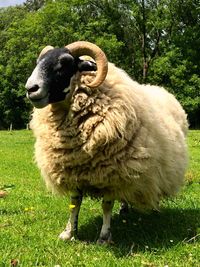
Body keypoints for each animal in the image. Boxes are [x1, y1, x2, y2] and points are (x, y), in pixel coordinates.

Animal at [25, 40, 188, 244]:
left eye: (65, 63)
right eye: (39, 62)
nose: (30, 89)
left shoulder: (112, 173)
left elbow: (106, 205)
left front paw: (104, 236)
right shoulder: (73, 170)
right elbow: (74, 203)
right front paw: (69, 232)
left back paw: (155, 208)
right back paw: (124, 209)